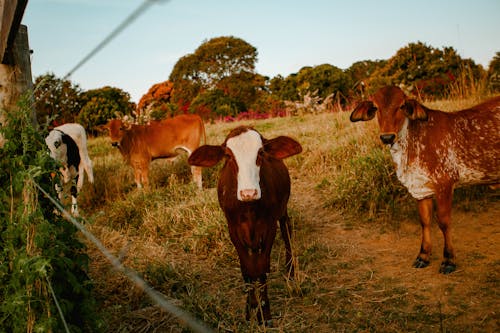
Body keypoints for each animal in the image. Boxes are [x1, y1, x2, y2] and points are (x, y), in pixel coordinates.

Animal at [188, 125, 302, 322]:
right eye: (228, 156)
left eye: (261, 152)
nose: (249, 192)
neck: (249, 209)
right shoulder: (233, 230)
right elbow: (247, 269)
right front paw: (251, 308)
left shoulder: (269, 226)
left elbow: (262, 268)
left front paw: (264, 312)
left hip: (282, 211)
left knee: (287, 230)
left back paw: (290, 271)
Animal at [350, 85, 500, 272]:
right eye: (376, 107)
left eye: (401, 106)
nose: (387, 137)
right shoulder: (420, 188)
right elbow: (425, 221)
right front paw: (423, 256)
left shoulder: (444, 184)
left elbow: (443, 222)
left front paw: (448, 260)